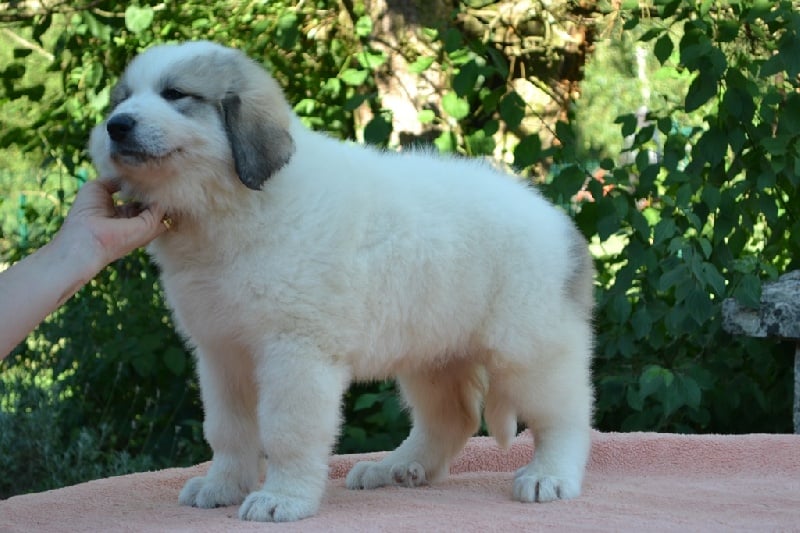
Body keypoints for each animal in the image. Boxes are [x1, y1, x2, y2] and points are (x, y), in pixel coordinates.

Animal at [92, 40, 592, 520]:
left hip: (529, 346)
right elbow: (227, 429)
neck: (231, 206)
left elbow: (286, 431)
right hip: (433, 350)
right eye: (121, 99)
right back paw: (396, 468)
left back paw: (549, 477)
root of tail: (558, 221)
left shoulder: (295, 351)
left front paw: (282, 499)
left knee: (565, 414)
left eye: (175, 94)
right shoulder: (221, 352)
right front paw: (222, 487)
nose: (116, 125)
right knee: (451, 418)